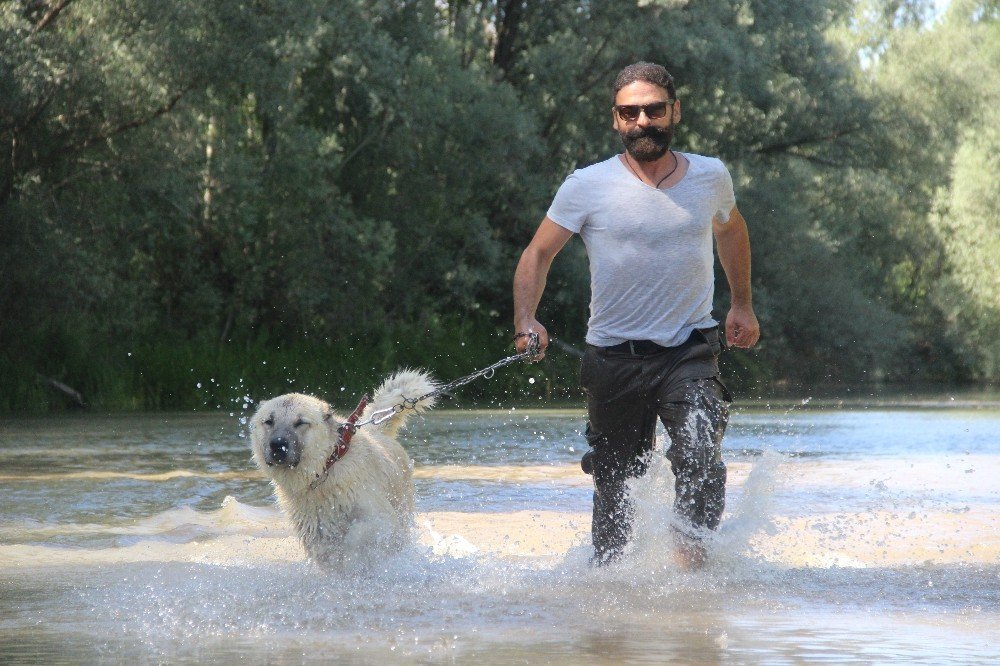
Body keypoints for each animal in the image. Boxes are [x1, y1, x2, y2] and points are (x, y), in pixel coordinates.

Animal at [248, 368, 436, 564]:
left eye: (300, 422)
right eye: (269, 421)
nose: (278, 444)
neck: (326, 466)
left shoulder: (379, 515)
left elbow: (360, 534)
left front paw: (351, 554)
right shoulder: (312, 524)